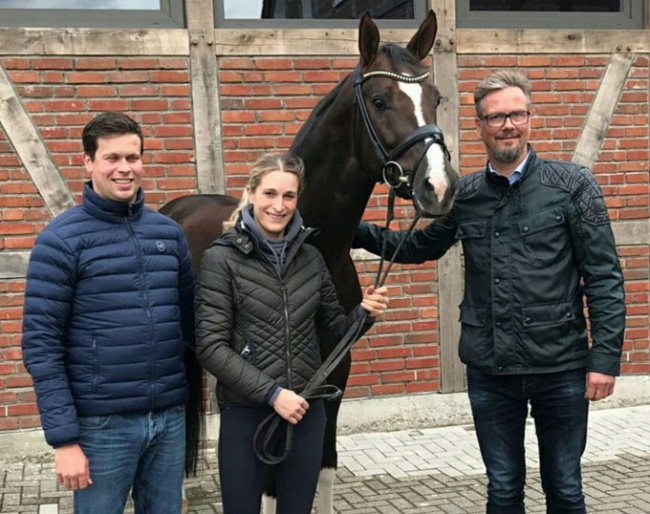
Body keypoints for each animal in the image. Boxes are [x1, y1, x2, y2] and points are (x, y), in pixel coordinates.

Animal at [162, 10, 456, 510]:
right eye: (379, 100)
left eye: (435, 97)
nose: (439, 186)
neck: (312, 248)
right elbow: (268, 484)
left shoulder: (334, 373)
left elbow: (325, 466)